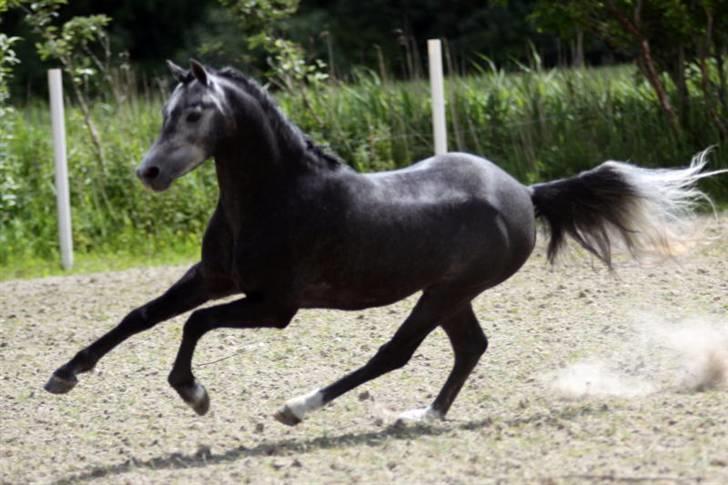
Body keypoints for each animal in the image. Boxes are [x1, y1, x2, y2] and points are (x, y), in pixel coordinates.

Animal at [45, 60, 724, 426]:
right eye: (164, 112)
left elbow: (193, 325)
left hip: (446, 291)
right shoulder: (215, 277)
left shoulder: (275, 307)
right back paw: (424, 415)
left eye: (193, 114)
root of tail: (524, 193)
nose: (150, 173)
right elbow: (141, 315)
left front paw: (195, 395)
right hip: (451, 294)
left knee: (394, 353)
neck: (279, 196)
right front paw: (64, 375)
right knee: (470, 348)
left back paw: (299, 407)